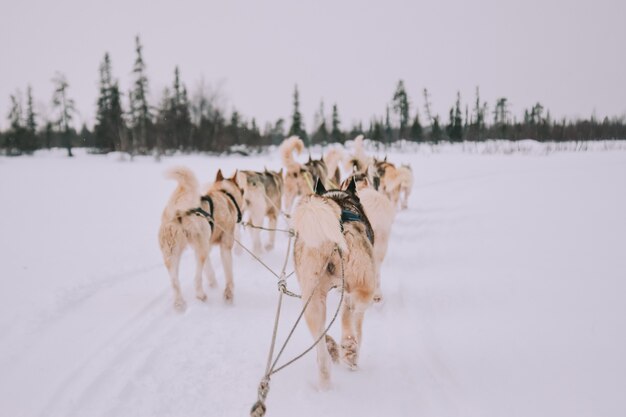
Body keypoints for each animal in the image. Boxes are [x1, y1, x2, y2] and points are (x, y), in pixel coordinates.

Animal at [158, 166, 212, 308]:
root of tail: (178, 212)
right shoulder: (206, 244)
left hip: (171, 254)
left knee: (174, 281)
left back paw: (179, 303)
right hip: (200, 249)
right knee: (197, 277)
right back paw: (200, 295)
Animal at [200, 169, 244, 302]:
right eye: (241, 190)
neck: (224, 193)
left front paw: (212, 280)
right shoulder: (225, 244)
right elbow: (228, 274)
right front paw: (228, 291)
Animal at [290, 176, 372, 386]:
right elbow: (353, 316)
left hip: (312, 298)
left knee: (320, 346)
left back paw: (329, 358)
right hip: (363, 281)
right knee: (352, 309)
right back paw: (349, 349)